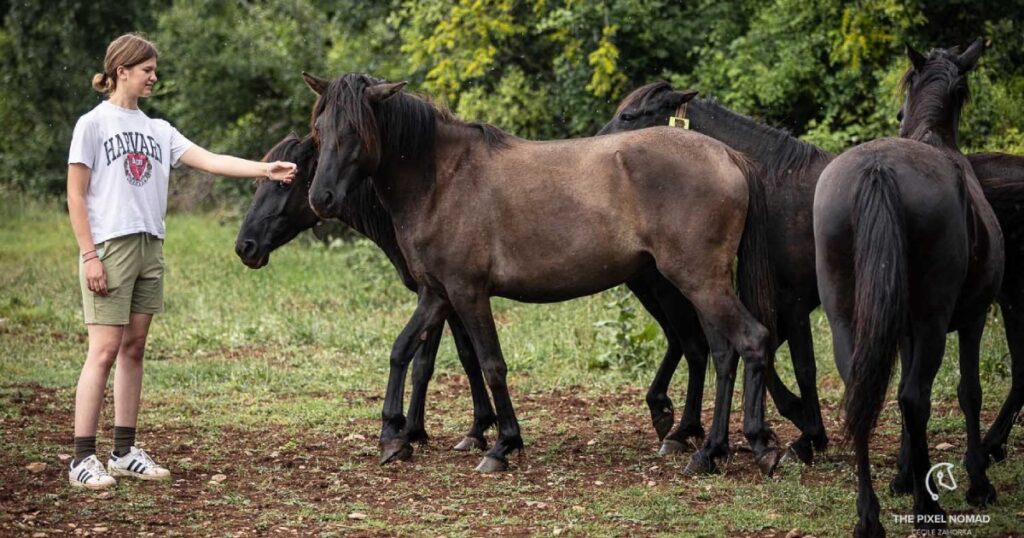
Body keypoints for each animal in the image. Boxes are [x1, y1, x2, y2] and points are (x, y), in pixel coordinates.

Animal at [235, 132, 499, 459]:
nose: (244, 246)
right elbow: (466, 354)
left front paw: (411, 431)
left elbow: (423, 364)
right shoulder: (447, 295)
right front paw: (478, 428)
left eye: (283, 185)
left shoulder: (436, 293)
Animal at [303, 71, 774, 469]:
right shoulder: (436, 293)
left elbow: (491, 363)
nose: (321, 197)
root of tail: (728, 156)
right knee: (722, 352)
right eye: (319, 130)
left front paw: (503, 444)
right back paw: (713, 446)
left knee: (748, 341)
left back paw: (733, 449)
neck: (443, 180)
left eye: (355, 131)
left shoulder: (468, 292)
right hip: (698, 285)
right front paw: (392, 437)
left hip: (698, 281)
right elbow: (402, 349)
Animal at [811, 39, 995, 532]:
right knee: (915, 398)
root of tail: (878, 169)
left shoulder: (904, 331)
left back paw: (868, 515)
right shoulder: (972, 319)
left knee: (862, 392)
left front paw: (902, 474)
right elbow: (969, 393)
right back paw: (929, 509)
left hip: (847, 318)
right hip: (933, 323)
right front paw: (976, 482)